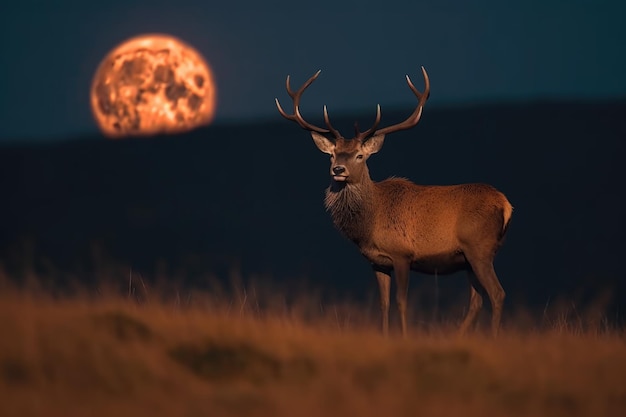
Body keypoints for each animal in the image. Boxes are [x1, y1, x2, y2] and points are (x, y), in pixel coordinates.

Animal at [276, 66, 510, 336]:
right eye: (332, 154)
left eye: (359, 155)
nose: (338, 169)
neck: (369, 224)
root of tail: (506, 205)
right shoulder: (377, 262)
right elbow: (384, 303)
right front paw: (386, 335)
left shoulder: (402, 254)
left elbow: (401, 301)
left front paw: (405, 336)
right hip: (468, 259)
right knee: (477, 300)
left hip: (479, 248)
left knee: (497, 293)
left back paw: (493, 336)